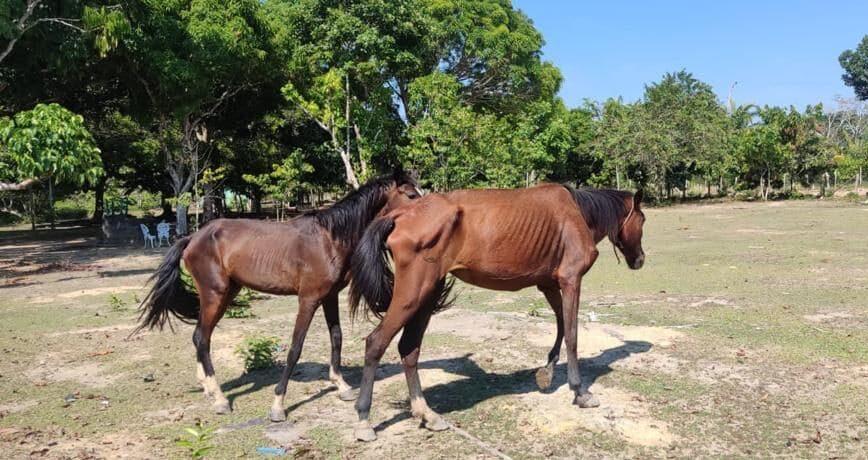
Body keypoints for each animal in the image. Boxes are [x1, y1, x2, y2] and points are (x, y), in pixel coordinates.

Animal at [134, 170, 422, 420]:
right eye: (411, 195)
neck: (329, 238)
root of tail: (192, 238)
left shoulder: (329, 297)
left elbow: (336, 338)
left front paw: (341, 386)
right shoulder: (308, 300)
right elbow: (295, 347)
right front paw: (278, 405)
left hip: (226, 294)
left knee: (201, 336)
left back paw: (206, 387)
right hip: (215, 295)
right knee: (201, 338)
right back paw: (219, 399)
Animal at [350, 183, 648, 442]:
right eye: (642, 220)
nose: (640, 260)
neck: (577, 212)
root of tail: (400, 214)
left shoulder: (549, 284)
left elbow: (562, 326)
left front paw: (547, 372)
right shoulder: (570, 281)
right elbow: (572, 335)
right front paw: (580, 392)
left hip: (427, 294)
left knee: (409, 349)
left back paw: (427, 414)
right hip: (412, 295)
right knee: (376, 343)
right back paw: (363, 419)